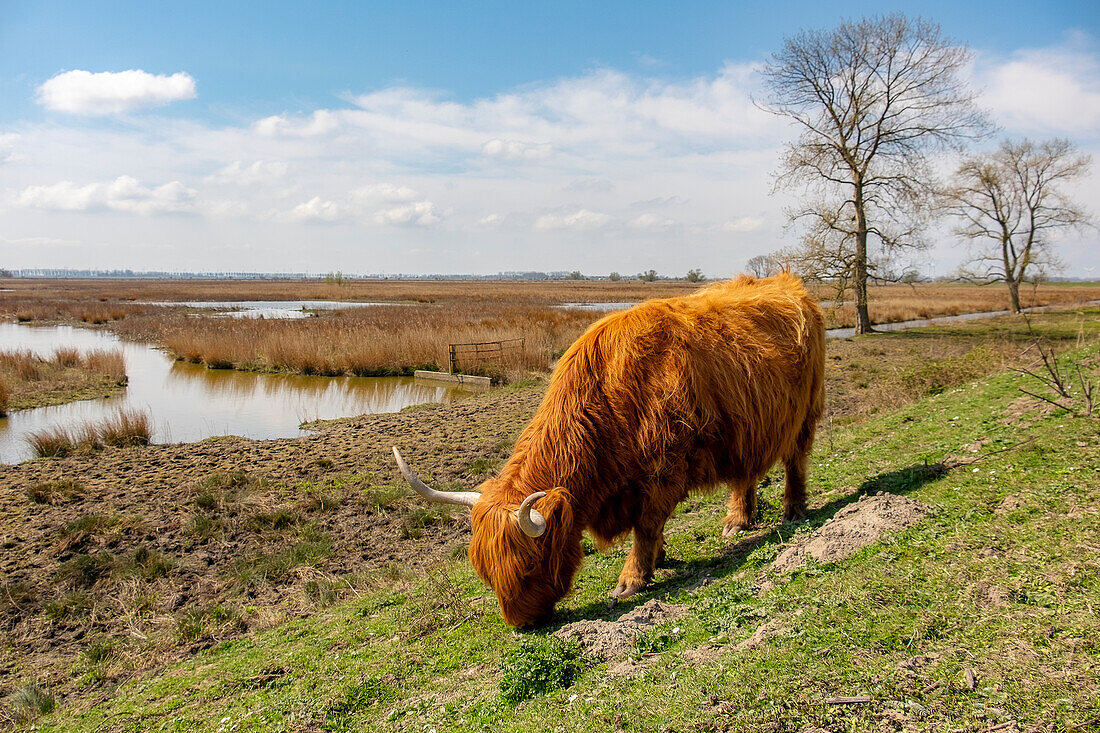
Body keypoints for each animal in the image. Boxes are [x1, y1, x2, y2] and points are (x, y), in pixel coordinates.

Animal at [396, 270, 827, 625]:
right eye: (486, 573)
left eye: (530, 566)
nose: (522, 624)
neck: (606, 406)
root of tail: (790, 283)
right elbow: (652, 529)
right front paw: (659, 558)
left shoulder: (664, 470)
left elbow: (646, 526)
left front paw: (632, 579)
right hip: (747, 425)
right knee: (745, 472)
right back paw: (737, 521)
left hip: (805, 412)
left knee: (796, 460)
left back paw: (793, 511)